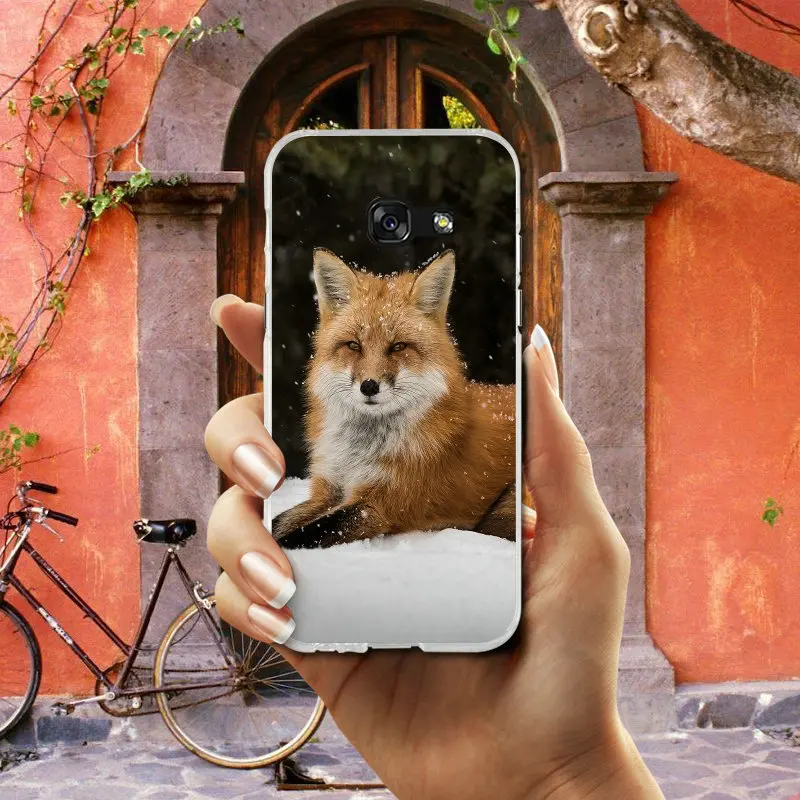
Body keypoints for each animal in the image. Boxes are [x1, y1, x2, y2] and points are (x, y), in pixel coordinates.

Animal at [272, 247, 516, 549]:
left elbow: (301, 534)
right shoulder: (327, 489)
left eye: (398, 347)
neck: (358, 453)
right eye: (353, 345)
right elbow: (279, 521)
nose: (369, 386)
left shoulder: (380, 505)